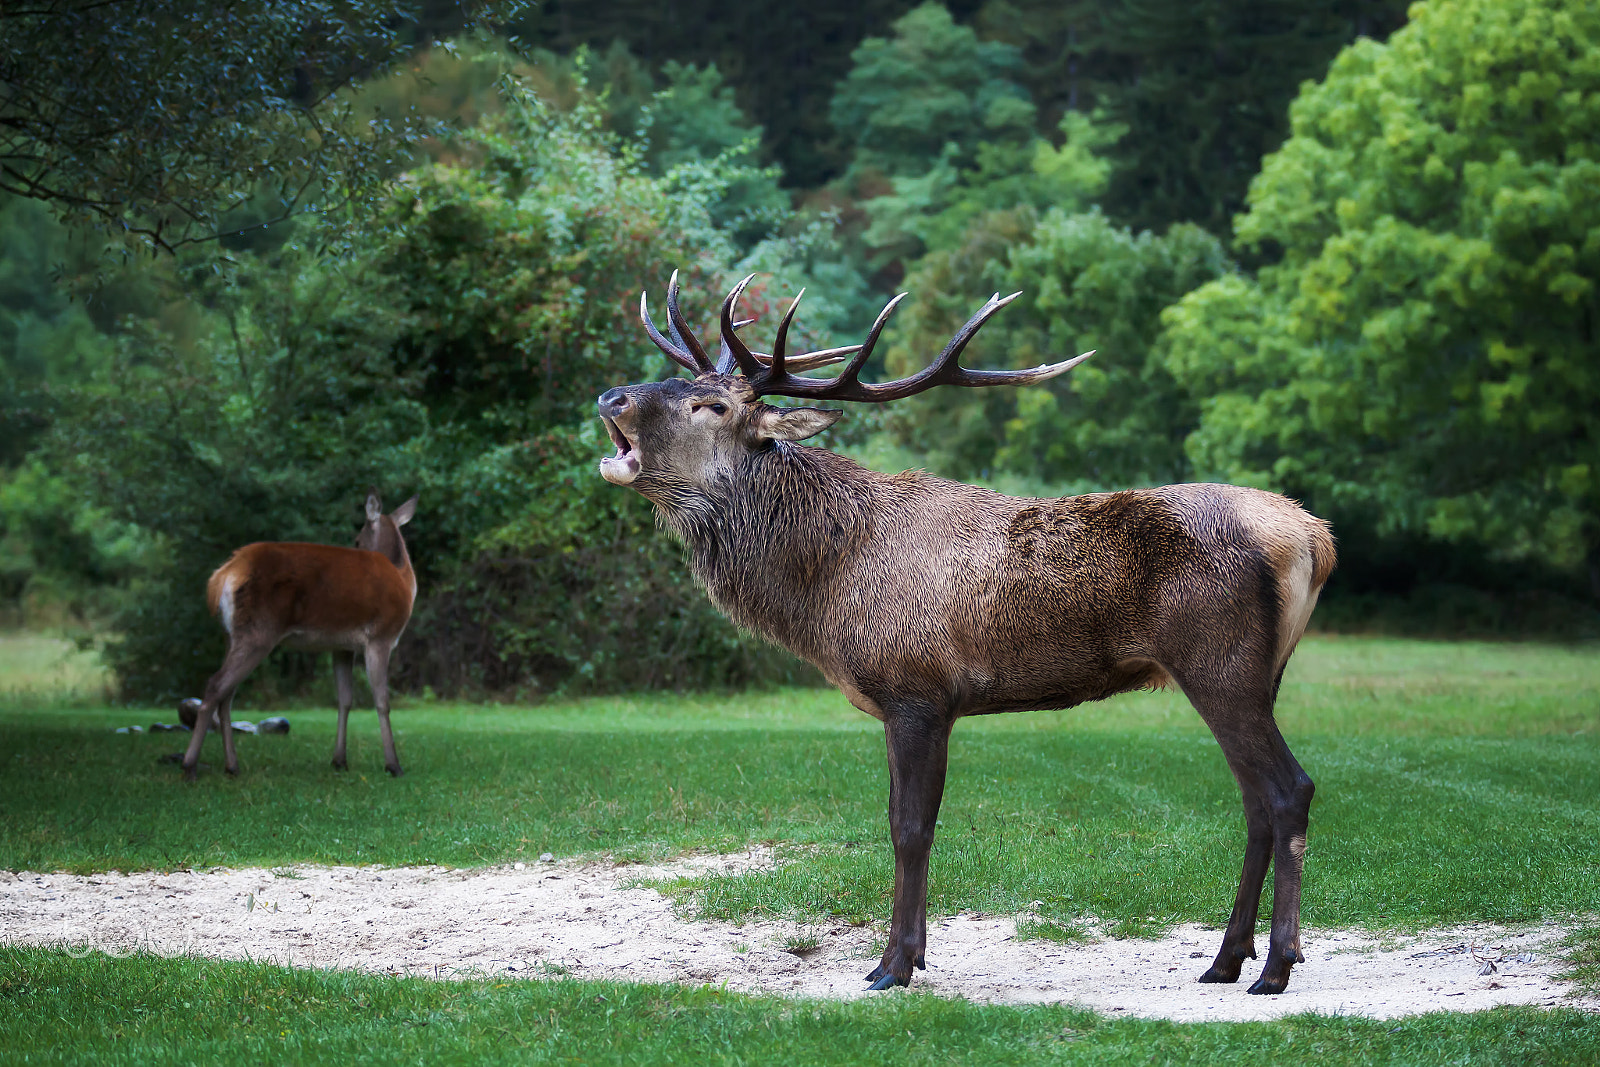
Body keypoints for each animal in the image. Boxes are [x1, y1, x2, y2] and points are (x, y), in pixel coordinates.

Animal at [176, 489, 419, 780]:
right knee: (215, 686)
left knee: (226, 695)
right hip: (258, 631)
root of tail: (222, 576)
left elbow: (345, 700)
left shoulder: (342, 646)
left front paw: (339, 761)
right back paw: (190, 766)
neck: (403, 580)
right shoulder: (380, 636)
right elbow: (382, 701)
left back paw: (232, 766)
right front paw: (393, 765)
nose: (358, 544)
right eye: (357, 540)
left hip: (231, 635)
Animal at [595, 273, 1331, 991]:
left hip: (1219, 662)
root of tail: (1313, 537)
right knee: (1255, 802)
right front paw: (914, 955)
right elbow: (911, 821)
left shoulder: (917, 692)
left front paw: (892, 965)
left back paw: (1275, 965)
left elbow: (909, 827)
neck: (827, 586)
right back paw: (1225, 959)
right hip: (1258, 674)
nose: (611, 395)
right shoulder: (921, 703)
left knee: (1289, 789)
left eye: (712, 405)